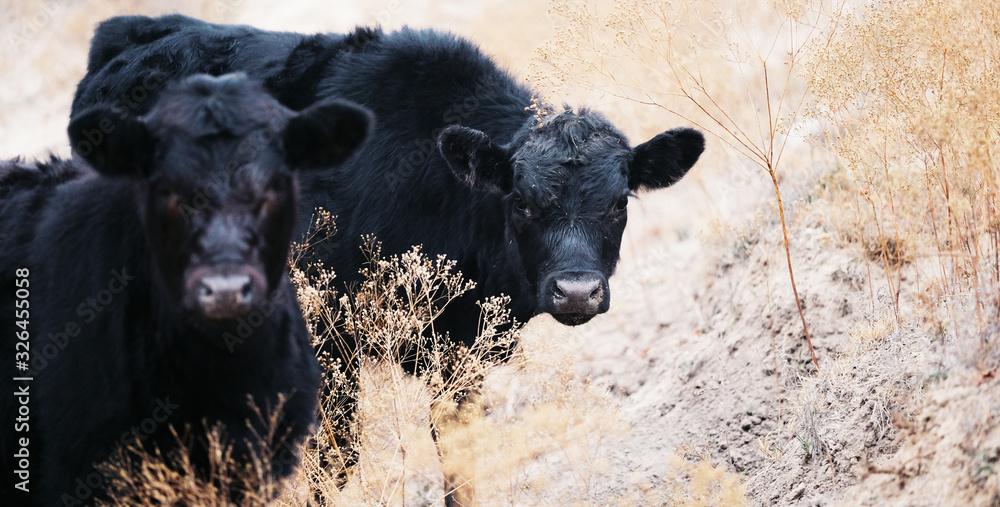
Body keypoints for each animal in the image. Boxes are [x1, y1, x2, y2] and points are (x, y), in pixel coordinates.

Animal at [71, 15, 706, 505]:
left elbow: (458, 457)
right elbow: (334, 461)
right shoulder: (328, 338)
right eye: (521, 201)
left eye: (619, 202)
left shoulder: (463, 354)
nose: (576, 291)